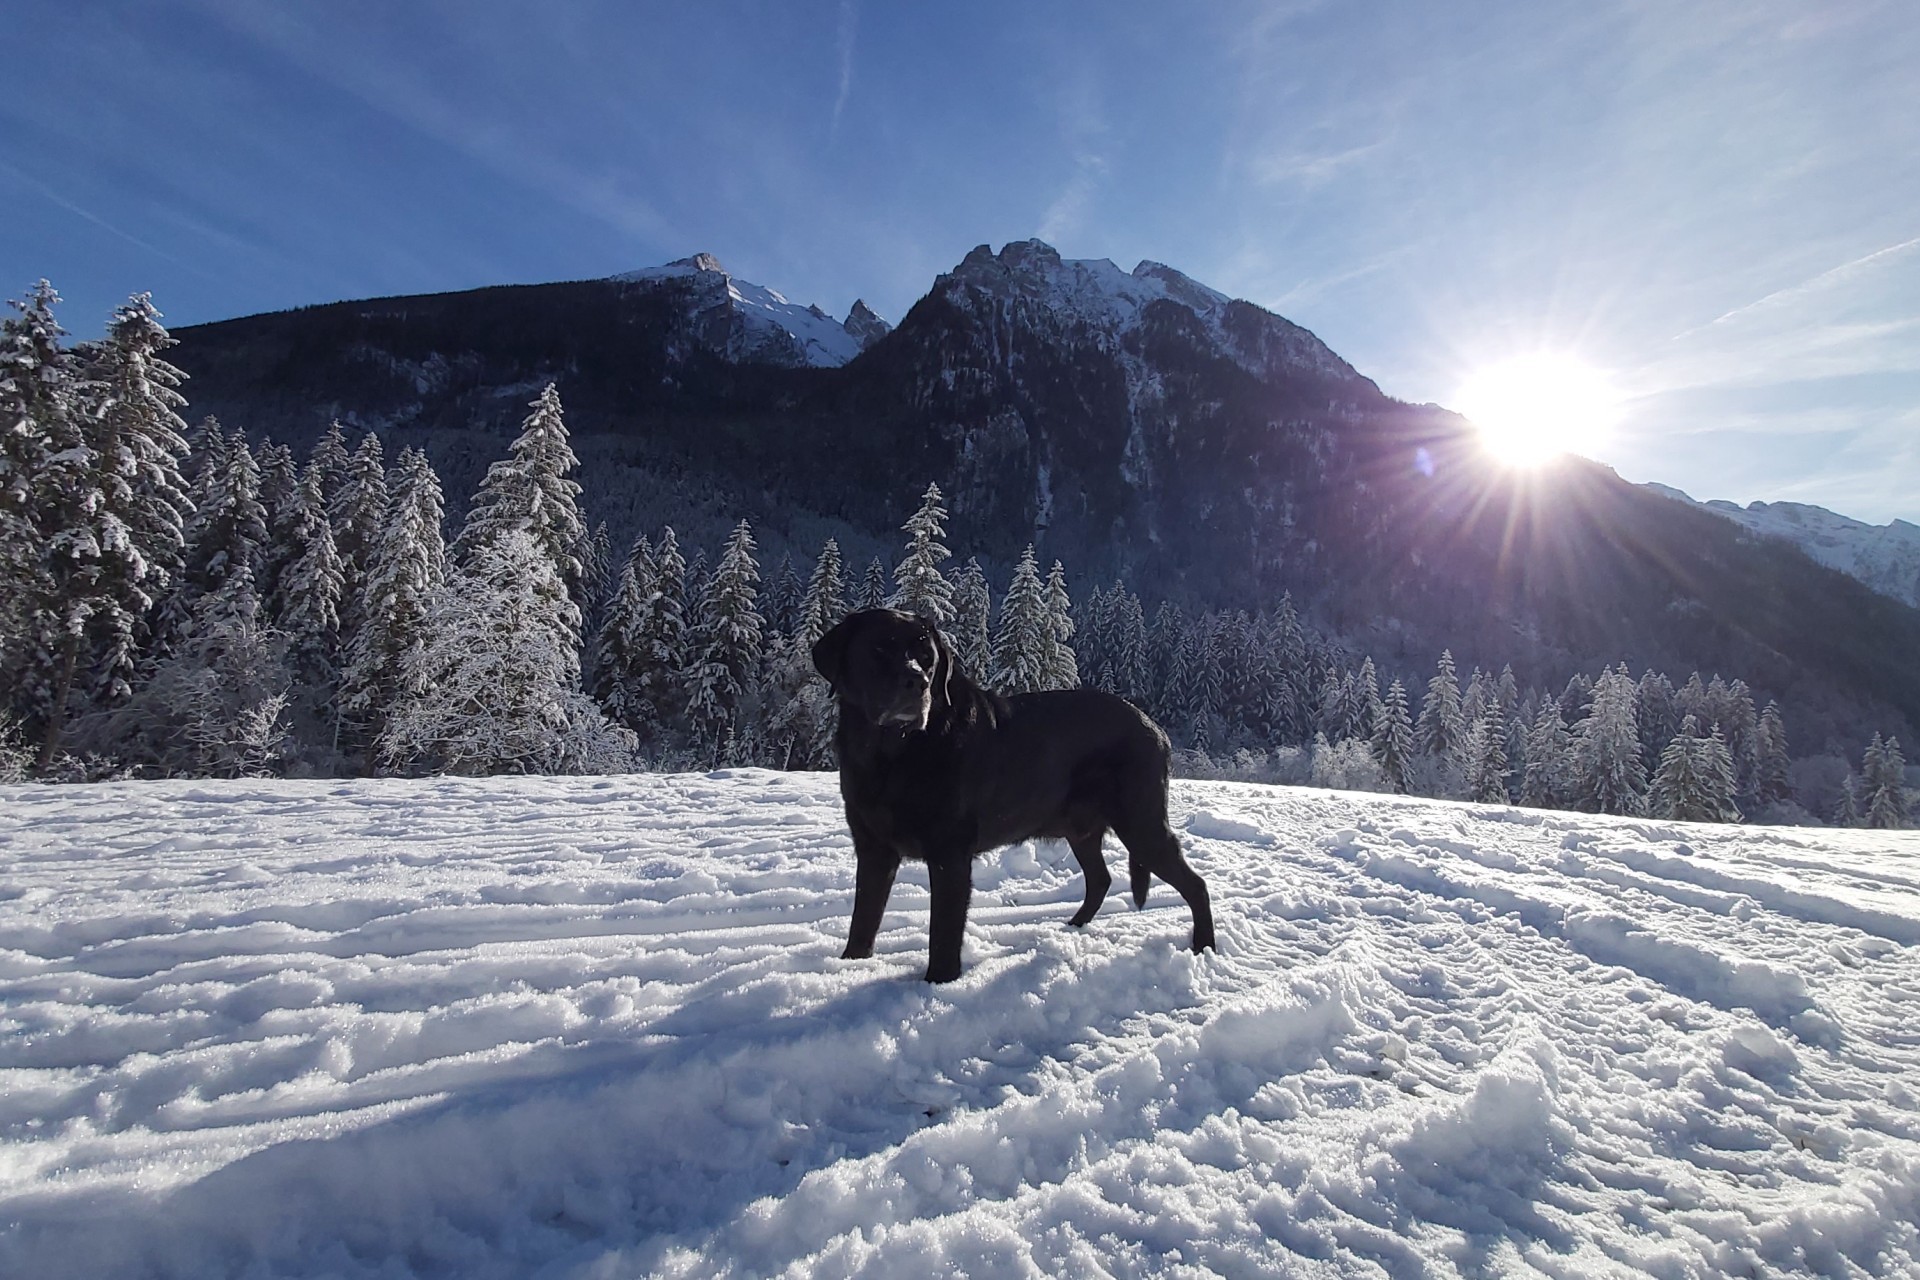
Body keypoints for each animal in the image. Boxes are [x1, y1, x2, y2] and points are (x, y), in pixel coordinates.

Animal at [810, 610, 1213, 982]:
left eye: (928, 657)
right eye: (880, 647)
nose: (917, 681)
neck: (890, 753)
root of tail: (1154, 728)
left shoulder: (949, 853)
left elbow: (943, 930)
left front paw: (938, 982)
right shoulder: (873, 848)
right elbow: (863, 918)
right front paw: (848, 968)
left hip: (1141, 824)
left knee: (1195, 884)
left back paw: (1203, 946)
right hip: (1081, 829)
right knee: (1100, 879)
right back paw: (1073, 926)